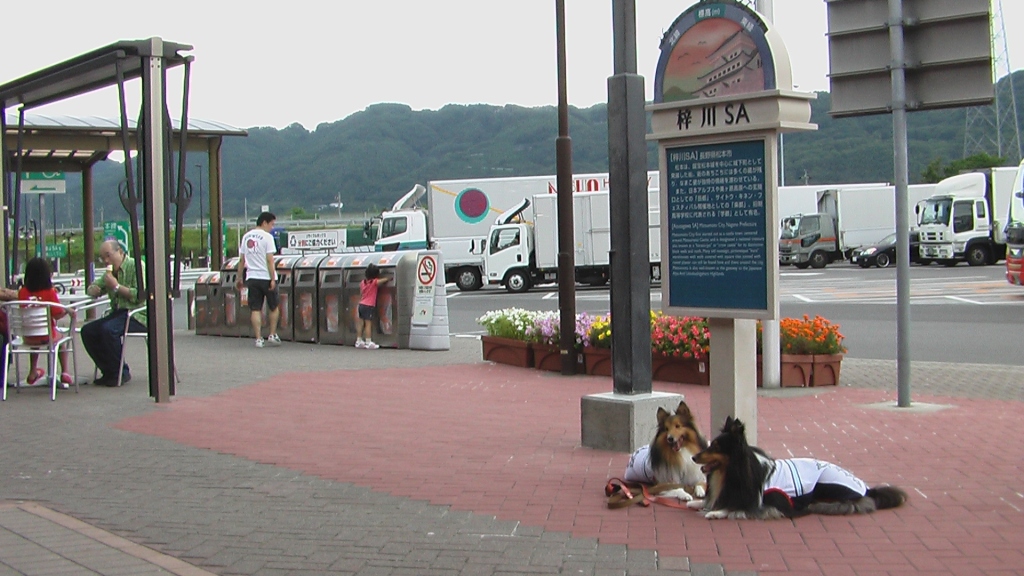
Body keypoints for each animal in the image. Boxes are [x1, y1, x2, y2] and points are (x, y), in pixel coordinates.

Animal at [687, 416, 908, 519]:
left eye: (716, 446)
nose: (693, 457)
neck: (736, 469)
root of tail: (867, 489)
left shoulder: (764, 504)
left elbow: (736, 508)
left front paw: (715, 512)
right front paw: (698, 503)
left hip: (826, 487)